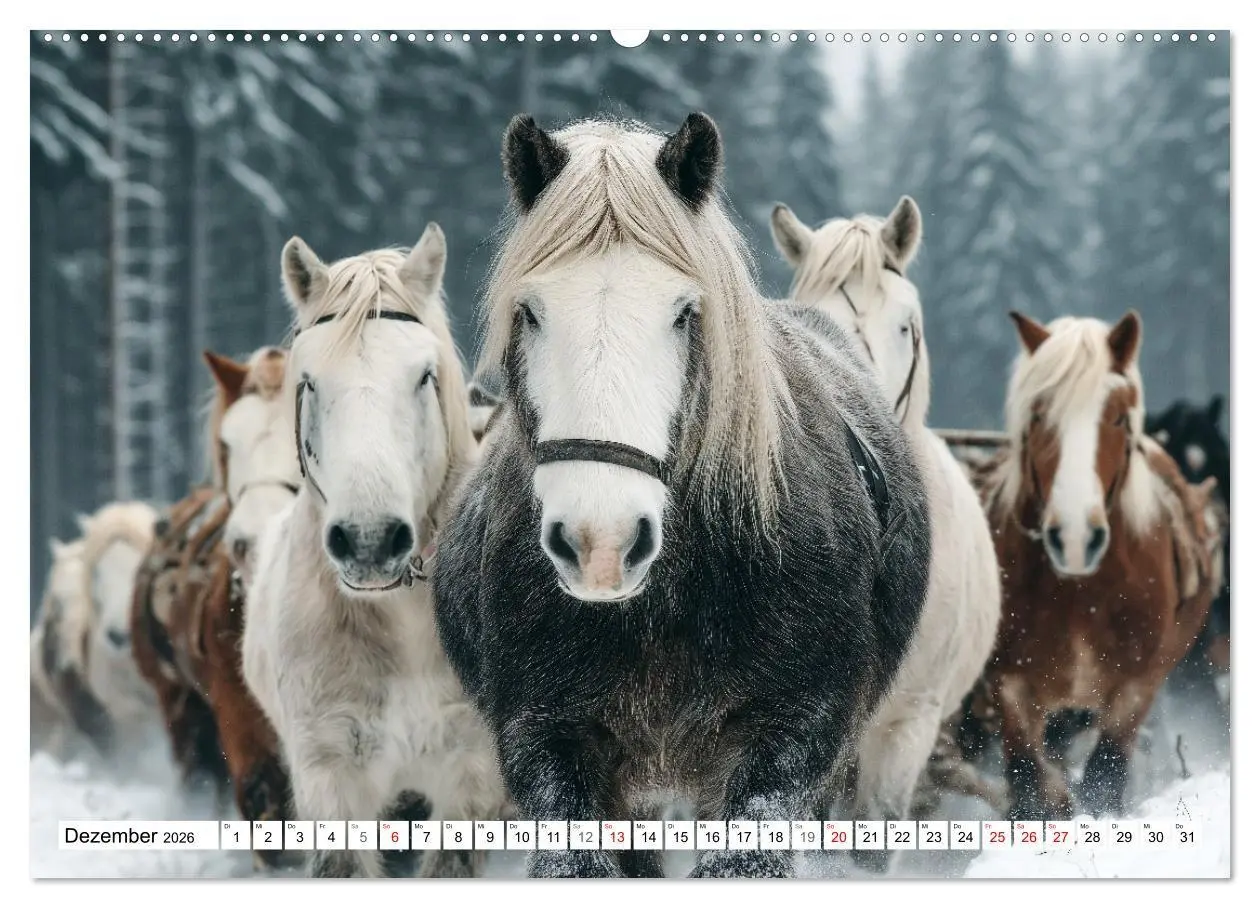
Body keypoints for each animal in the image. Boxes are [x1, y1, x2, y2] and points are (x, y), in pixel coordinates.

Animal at [981, 310, 1219, 820]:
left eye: (1117, 416)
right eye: (1038, 414)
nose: (1074, 539)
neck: (1078, 592)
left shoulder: (1135, 688)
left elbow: (1105, 780)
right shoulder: (1010, 686)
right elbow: (1027, 787)